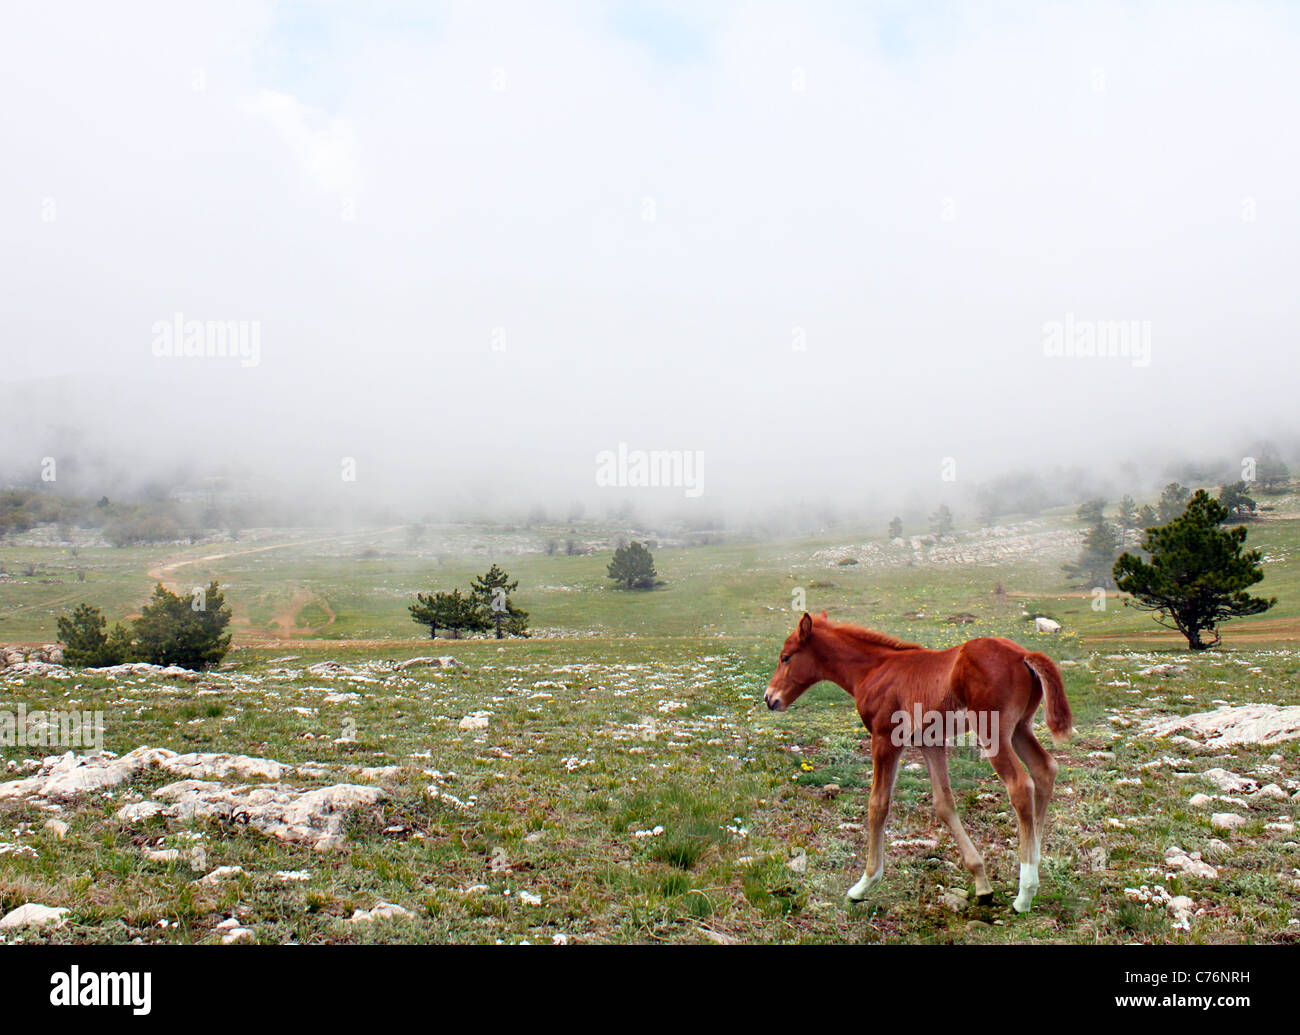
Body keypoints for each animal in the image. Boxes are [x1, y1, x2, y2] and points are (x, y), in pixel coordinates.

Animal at [759, 613, 1071, 915]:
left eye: (786, 657)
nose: (769, 698)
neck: (874, 669)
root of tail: (1024, 654)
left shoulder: (885, 739)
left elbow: (878, 805)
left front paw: (864, 884)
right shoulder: (930, 742)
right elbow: (944, 804)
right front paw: (982, 884)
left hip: (993, 733)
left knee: (1020, 785)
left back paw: (1025, 893)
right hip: (1020, 727)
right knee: (1045, 770)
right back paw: (1034, 863)